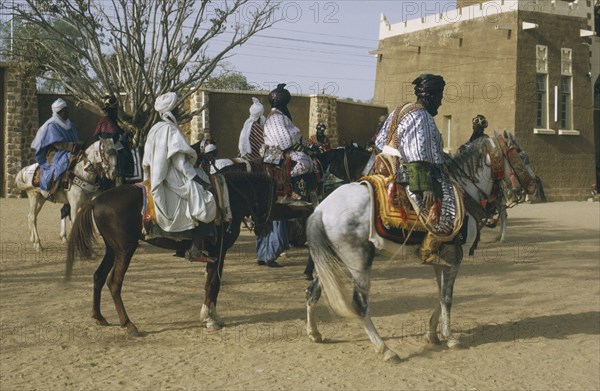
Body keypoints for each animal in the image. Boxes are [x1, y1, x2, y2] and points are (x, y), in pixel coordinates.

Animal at [67, 172, 278, 336]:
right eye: (274, 198)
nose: (266, 228)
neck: (228, 198)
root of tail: (96, 200)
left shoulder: (216, 254)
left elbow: (213, 283)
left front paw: (213, 316)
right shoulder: (218, 251)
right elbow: (212, 284)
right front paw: (209, 318)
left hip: (113, 249)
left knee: (99, 276)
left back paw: (99, 316)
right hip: (125, 249)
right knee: (114, 283)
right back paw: (128, 324)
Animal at [308, 132, 536, 364]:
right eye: (521, 155)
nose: (533, 186)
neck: (465, 192)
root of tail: (321, 209)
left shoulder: (441, 259)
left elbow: (439, 294)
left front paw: (432, 333)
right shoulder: (456, 257)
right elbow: (447, 297)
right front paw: (449, 337)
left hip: (328, 261)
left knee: (313, 292)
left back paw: (314, 333)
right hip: (359, 263)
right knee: (360, 304)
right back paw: (385, 349)